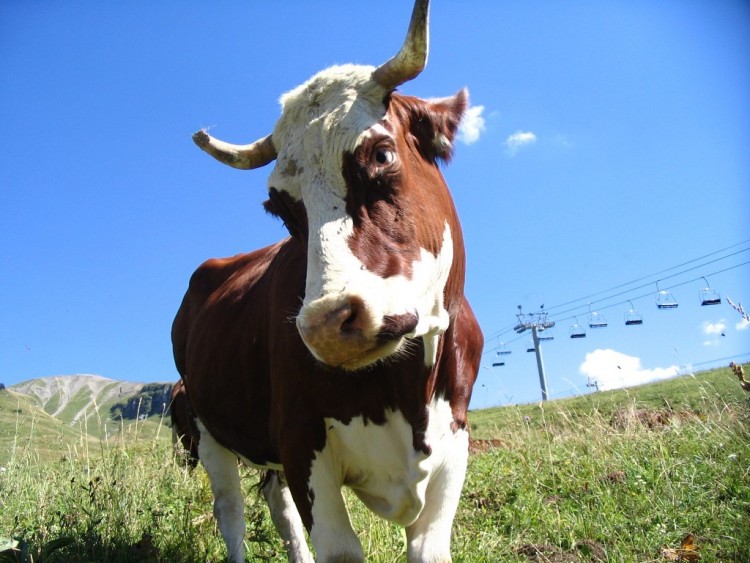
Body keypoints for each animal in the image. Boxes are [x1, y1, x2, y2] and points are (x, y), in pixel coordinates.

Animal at [173, 2, 484, 560]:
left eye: (381, 153)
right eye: (278, 206)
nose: (324, 325)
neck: (411, 392)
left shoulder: (455, 443)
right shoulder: (300, 439)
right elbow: (337, 547)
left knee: (278, 506)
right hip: (209, 428)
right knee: (231, 512)